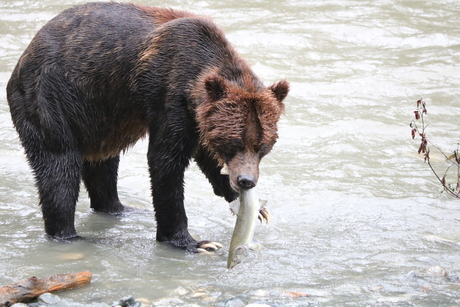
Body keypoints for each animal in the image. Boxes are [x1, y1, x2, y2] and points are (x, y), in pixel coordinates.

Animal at [6, 1, 288, 253]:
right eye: (234, 142)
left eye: (262, 146)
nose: (246, 181)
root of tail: (23, 56)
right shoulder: (170, 95)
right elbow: (166, 161)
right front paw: (193, 242)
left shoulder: (197, 117)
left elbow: (206, 156)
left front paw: (254, 207)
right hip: (51, 99)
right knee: (59, 167)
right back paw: (70, 234)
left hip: (99, 117)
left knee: (103, 164)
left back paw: (120, 208)